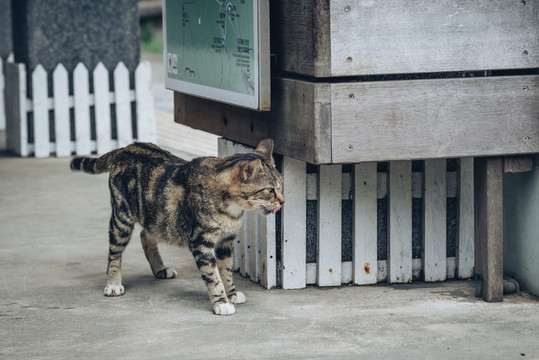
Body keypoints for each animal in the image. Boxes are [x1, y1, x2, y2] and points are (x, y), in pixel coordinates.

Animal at [69, 139, 284, 314]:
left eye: (281, 186)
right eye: (269, 190)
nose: (282, 201)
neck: (232, 209)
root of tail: (126, 148)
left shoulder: (225, 241)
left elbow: (227, 270)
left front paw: (231, 293)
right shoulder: (201, 241)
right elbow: (213, 275)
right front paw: (221, 302)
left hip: (157, 217)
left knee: (145, 235)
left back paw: (160, 270)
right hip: (122, 216)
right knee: (115, 252)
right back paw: (113, 283)